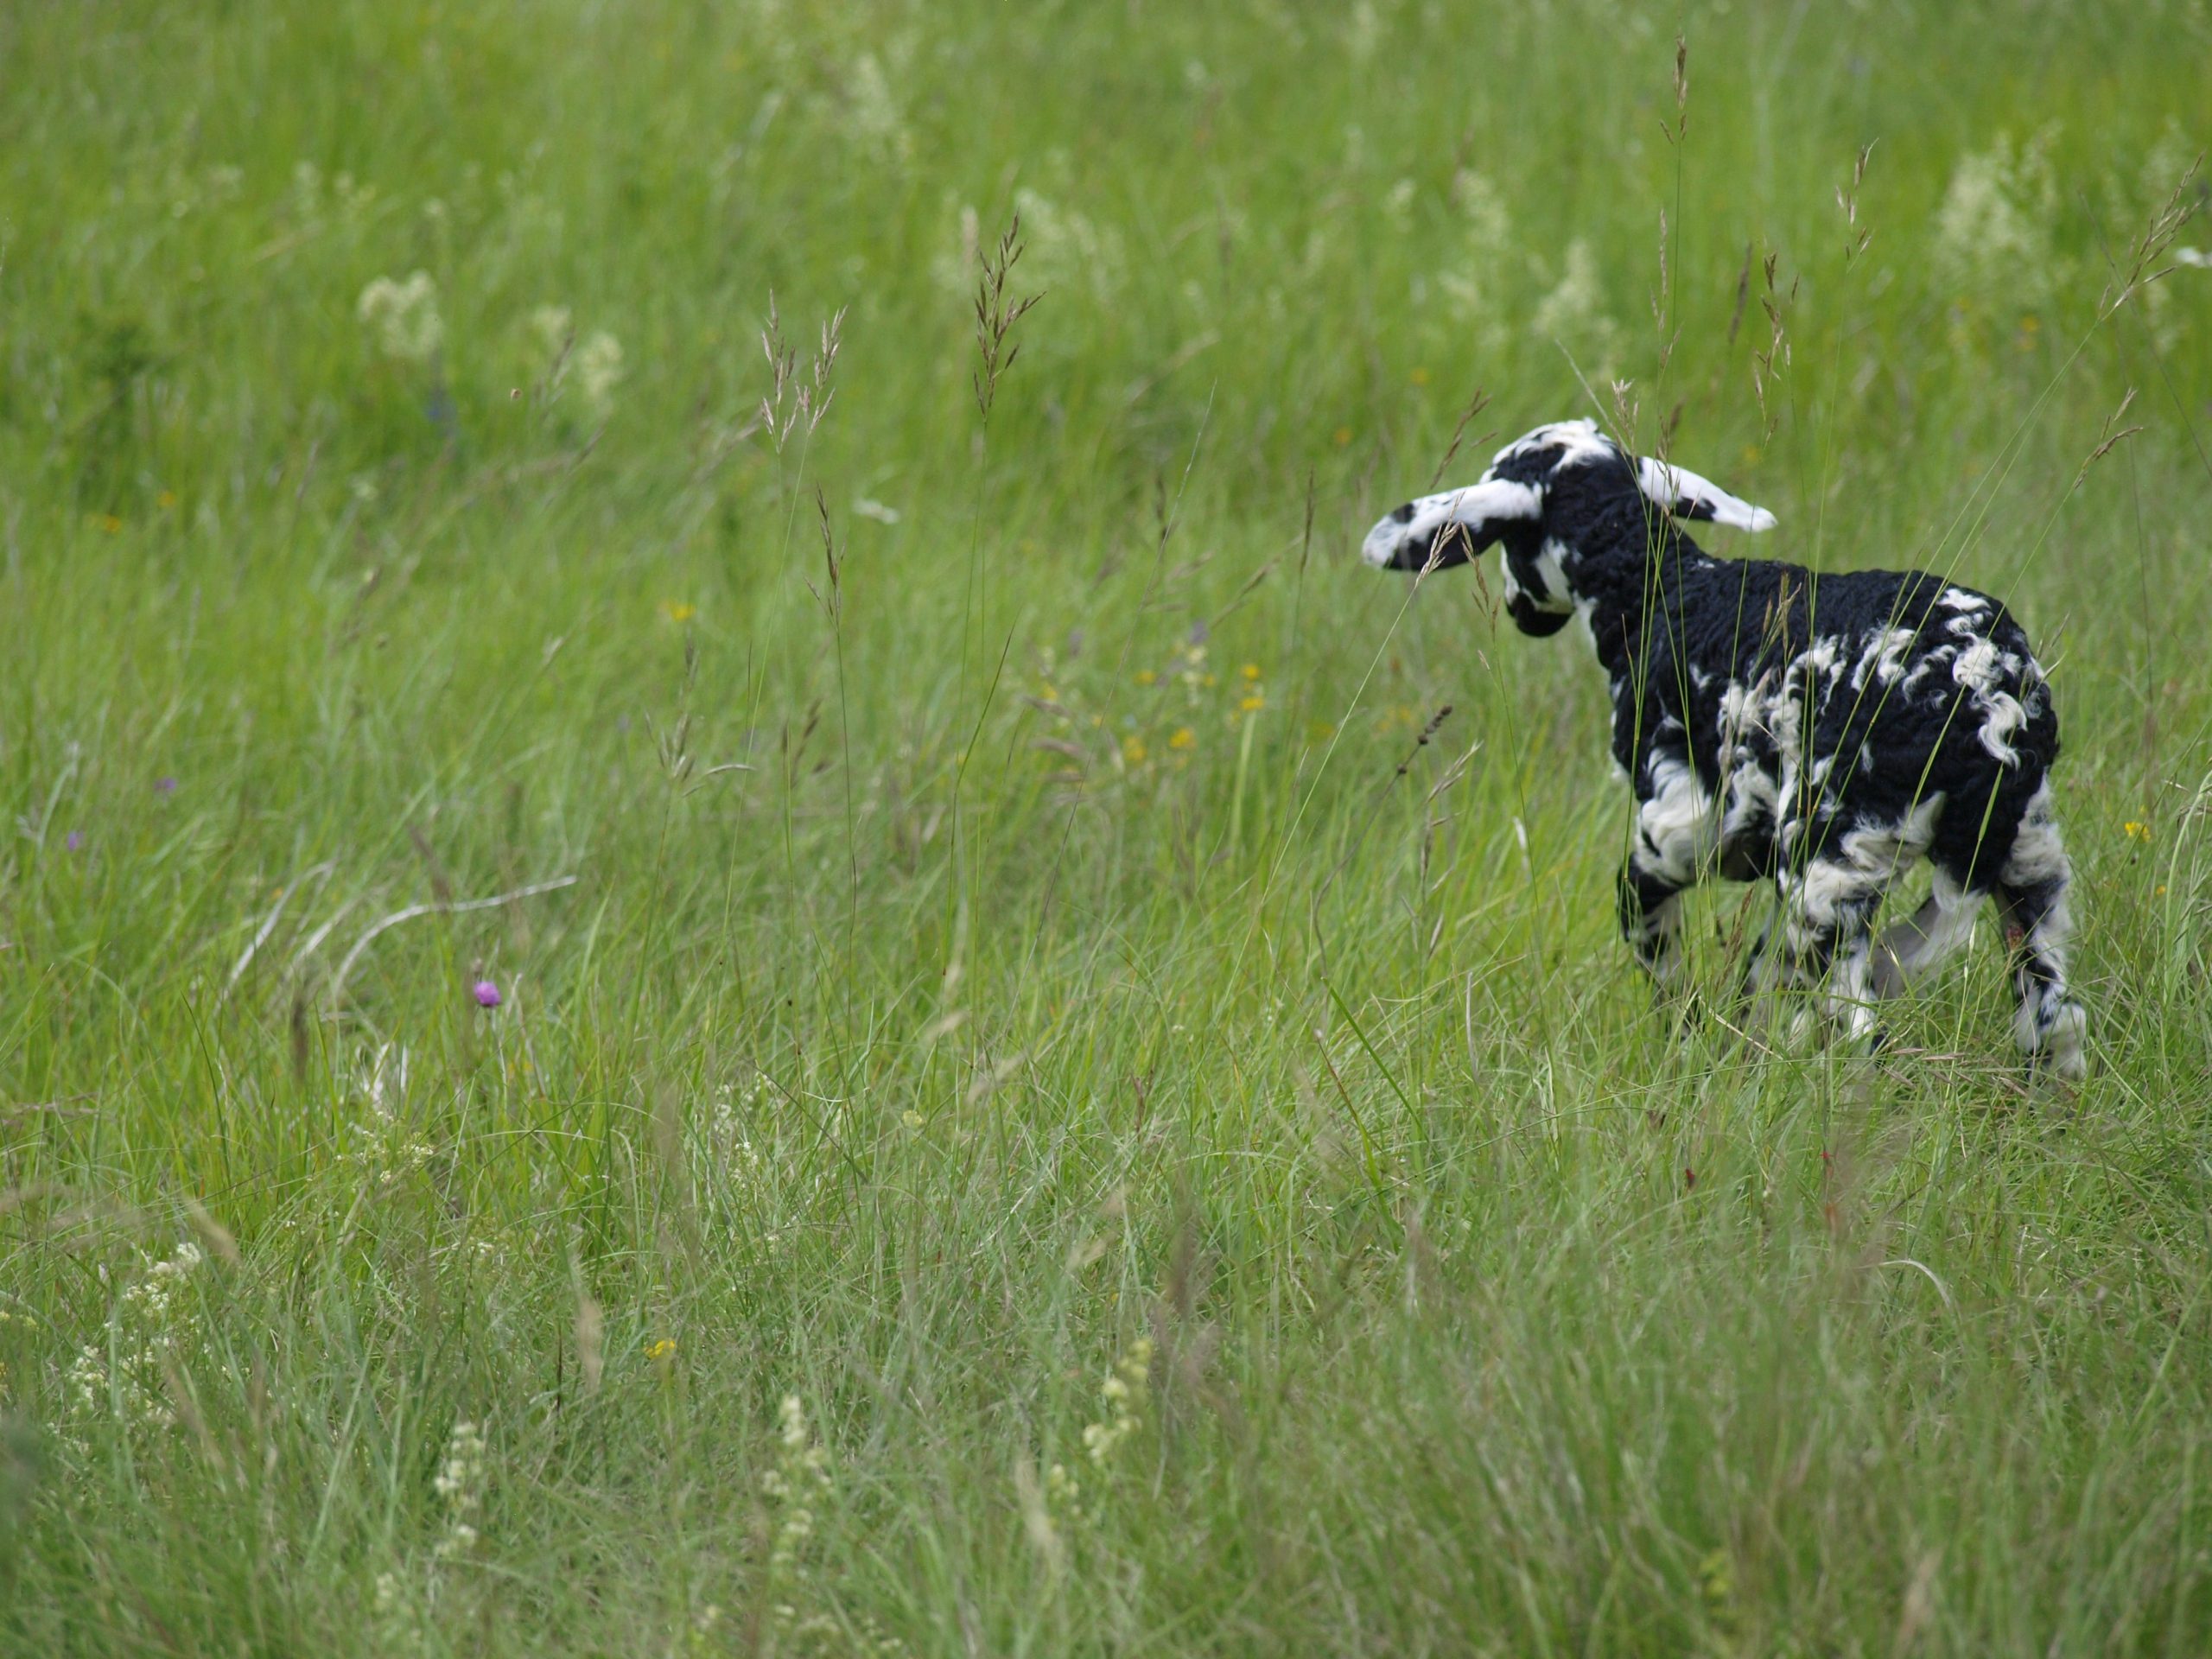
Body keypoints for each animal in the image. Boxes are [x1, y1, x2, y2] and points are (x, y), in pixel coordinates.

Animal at [1362, 418, 2088, 1080]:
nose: (1519, 613)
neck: (1660, 591)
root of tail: (1988, 706)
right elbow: (1756, 981)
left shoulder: (1664, 847)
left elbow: (1668, 978)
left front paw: (1686, 1056)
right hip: (2029, 867)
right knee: (2056, 1023)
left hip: (1830, 869)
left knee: (1859, 1032)